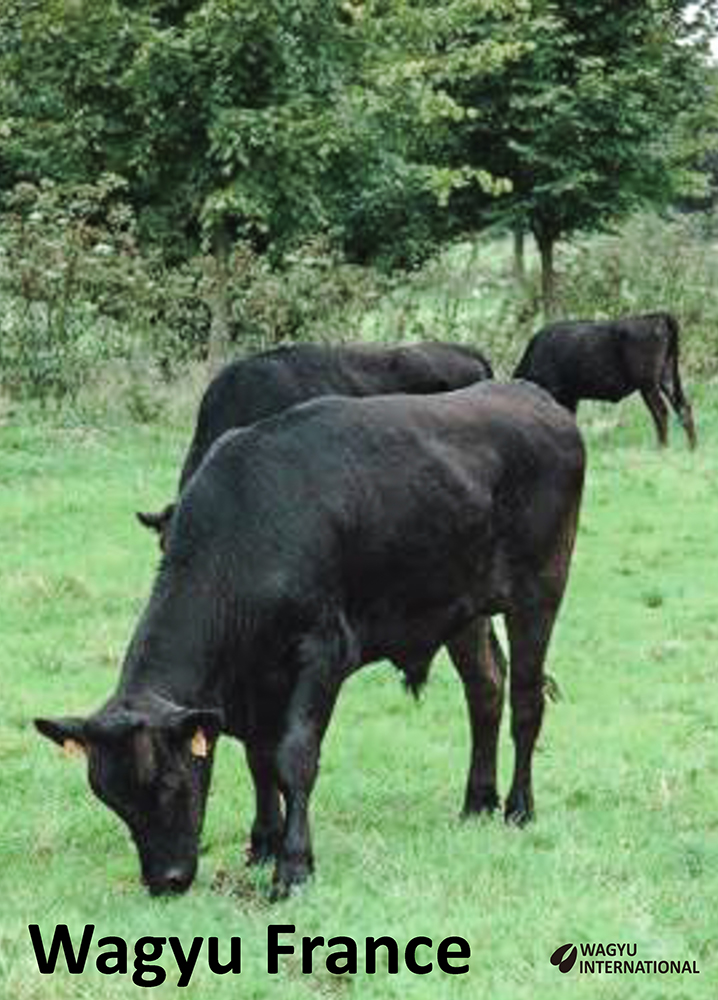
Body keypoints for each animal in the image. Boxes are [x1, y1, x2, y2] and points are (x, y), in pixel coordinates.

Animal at [36, 382, 584, 900]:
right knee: (485, 688)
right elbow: (259, 759)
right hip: (460, 606)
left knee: (526, 701)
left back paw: (518, 808)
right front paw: (264, 843)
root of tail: (532, 396)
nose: (165, 880)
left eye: (169, 783)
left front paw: (294, 866)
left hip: (540, 589)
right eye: (113, 801)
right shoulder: (252, 683)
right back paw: (477, 801)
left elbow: (293, 756)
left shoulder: (322, 652)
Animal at [516, 312, 700, 450]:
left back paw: (662, 448)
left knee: (661, 412)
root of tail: (658, 317)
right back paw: (692, 448)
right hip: (666, 378)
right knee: (683, 407)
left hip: (648, 386)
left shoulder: (560, 394)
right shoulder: (571, 397)